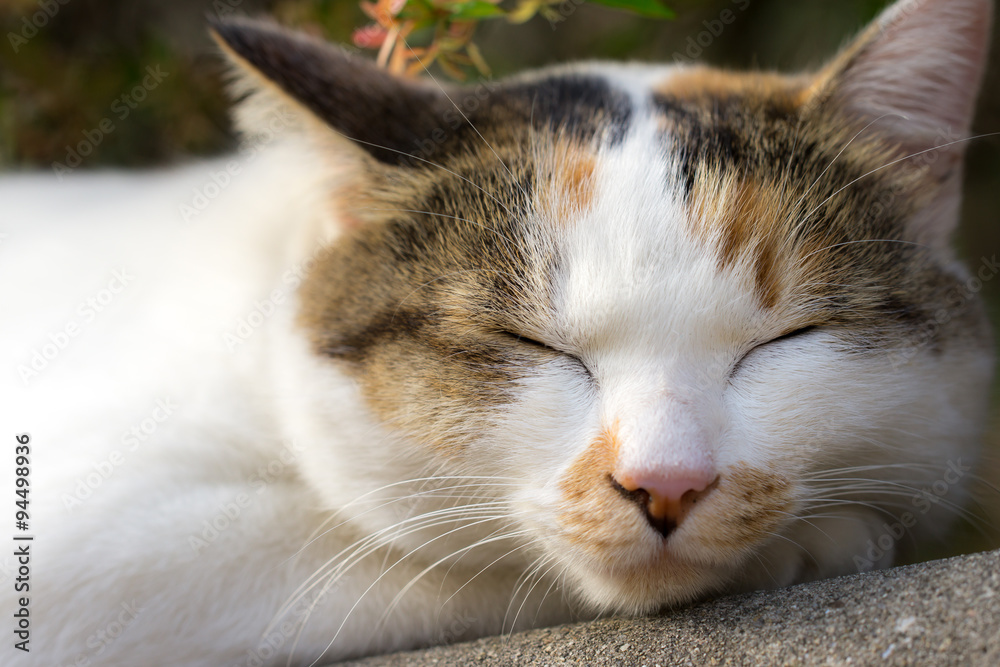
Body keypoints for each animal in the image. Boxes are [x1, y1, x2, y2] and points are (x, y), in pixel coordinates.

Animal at [3, 0, 996, 664]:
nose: (666, 483)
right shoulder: (91, 546)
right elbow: (406, 551)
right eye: (530, 345)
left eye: (788, 339)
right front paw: (817, 543)